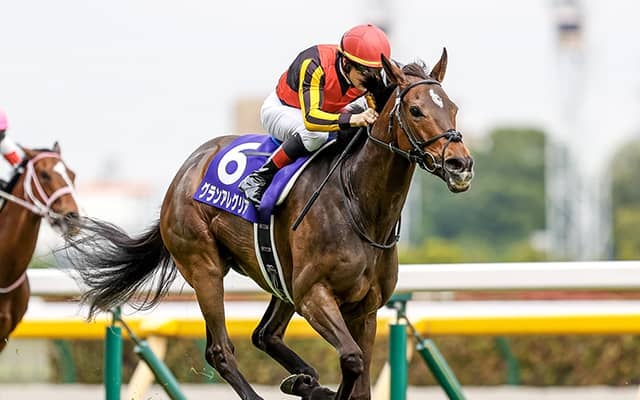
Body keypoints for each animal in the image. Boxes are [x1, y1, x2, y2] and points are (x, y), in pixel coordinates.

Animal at [64, 49, 474, 400]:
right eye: (416, 110)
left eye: (453, 108)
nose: (461, 164)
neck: (360, 206)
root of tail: (183, 172)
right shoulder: (314, 295)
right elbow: (352, 360)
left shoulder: (365, 308)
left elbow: (359, 378)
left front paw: (315, 386)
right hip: (205, 266)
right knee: (220, 349)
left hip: (280, 277)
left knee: (265, 335)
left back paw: (305, 381)